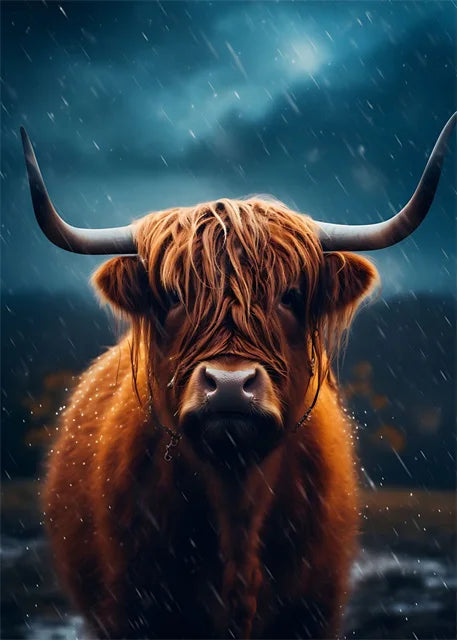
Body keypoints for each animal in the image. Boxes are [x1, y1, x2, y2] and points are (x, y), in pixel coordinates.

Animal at [21, 113, 455, 639]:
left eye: (291, 295)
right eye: (171, 297)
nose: (229, 385)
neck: (236, 502)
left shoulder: (314, 611)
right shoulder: (128, 612)